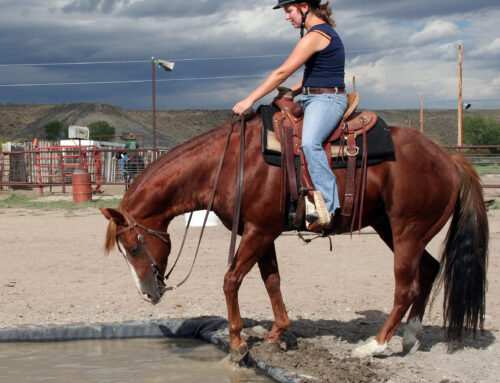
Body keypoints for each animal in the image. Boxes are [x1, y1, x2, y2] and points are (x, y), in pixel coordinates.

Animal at [98, 111, 488, 364]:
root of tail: (448, 159)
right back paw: (409, 338)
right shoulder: (261, 231)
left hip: (407, 231)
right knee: (429, 270)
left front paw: (238, 343)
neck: (229, 165)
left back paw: (373, 346)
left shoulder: (258, 231)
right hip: (393, 229)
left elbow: (231, 279)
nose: (148, 294)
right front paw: (276, 334)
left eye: (134, 246)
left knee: (405, 287)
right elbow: (271, 280)